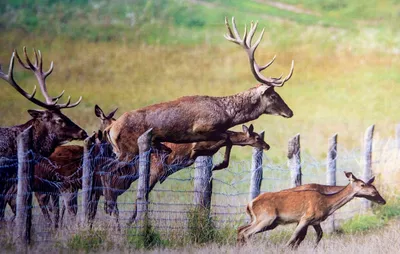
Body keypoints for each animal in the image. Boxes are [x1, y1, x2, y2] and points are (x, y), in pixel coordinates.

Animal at [104, 16, 296, 162]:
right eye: (274, 96)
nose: (290, 112)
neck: (228, 115)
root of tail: (110, 129)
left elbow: (227, 138)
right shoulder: (201, 127)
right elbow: (225, 138)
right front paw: (201, 152)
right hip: (128, 149)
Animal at [239, 172, 386, 249]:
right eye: (362, 184)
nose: (382, 200)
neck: (327, 203)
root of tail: (250, 204)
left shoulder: (315, 221)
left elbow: (318, 235)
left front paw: (313, 248)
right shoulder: (306, 217)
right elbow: (294, 236)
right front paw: (285, 248)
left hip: (267, 221)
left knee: (241, 229)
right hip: (267, 217)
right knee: (247, 232)